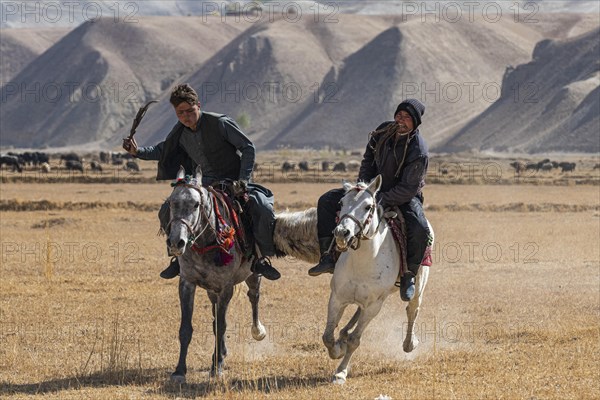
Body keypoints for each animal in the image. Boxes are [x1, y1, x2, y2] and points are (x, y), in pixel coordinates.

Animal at [322, 176, 434, 384]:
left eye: (368, 206)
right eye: (341, 203)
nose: (342, 232)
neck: (363, 260)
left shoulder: (374, 306)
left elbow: (355, 341)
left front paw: (340, 372)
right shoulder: (337, 298)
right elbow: (327, 336)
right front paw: (338, 348)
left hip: (419, 287)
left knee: (412, 310)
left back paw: (409, 343)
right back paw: (342, 335)